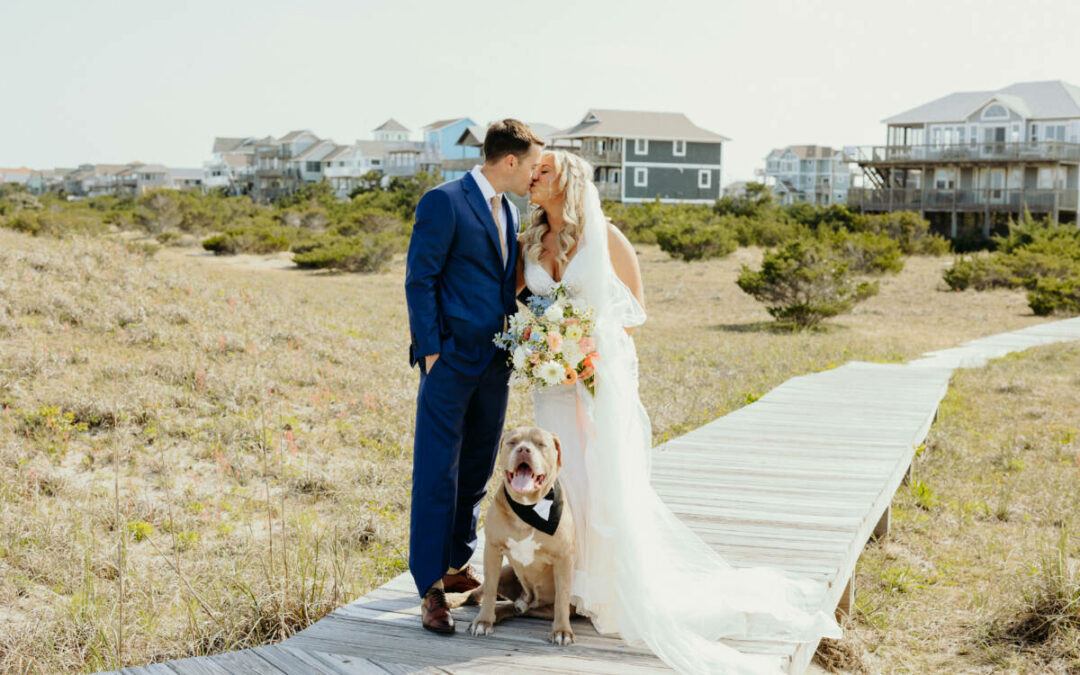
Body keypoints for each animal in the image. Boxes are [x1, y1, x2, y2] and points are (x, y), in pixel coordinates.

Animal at [468, 423, 578, 643]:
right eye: (512, 442)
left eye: (541, 444)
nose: (524, 450)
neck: (528, 508)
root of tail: (530, 600)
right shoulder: (492, 550)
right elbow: (490, 590)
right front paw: (483, 621)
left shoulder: (563, 558)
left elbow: (562, 597)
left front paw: (562, 631)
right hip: (506, 571)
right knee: (477, 593)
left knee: (523, 608)